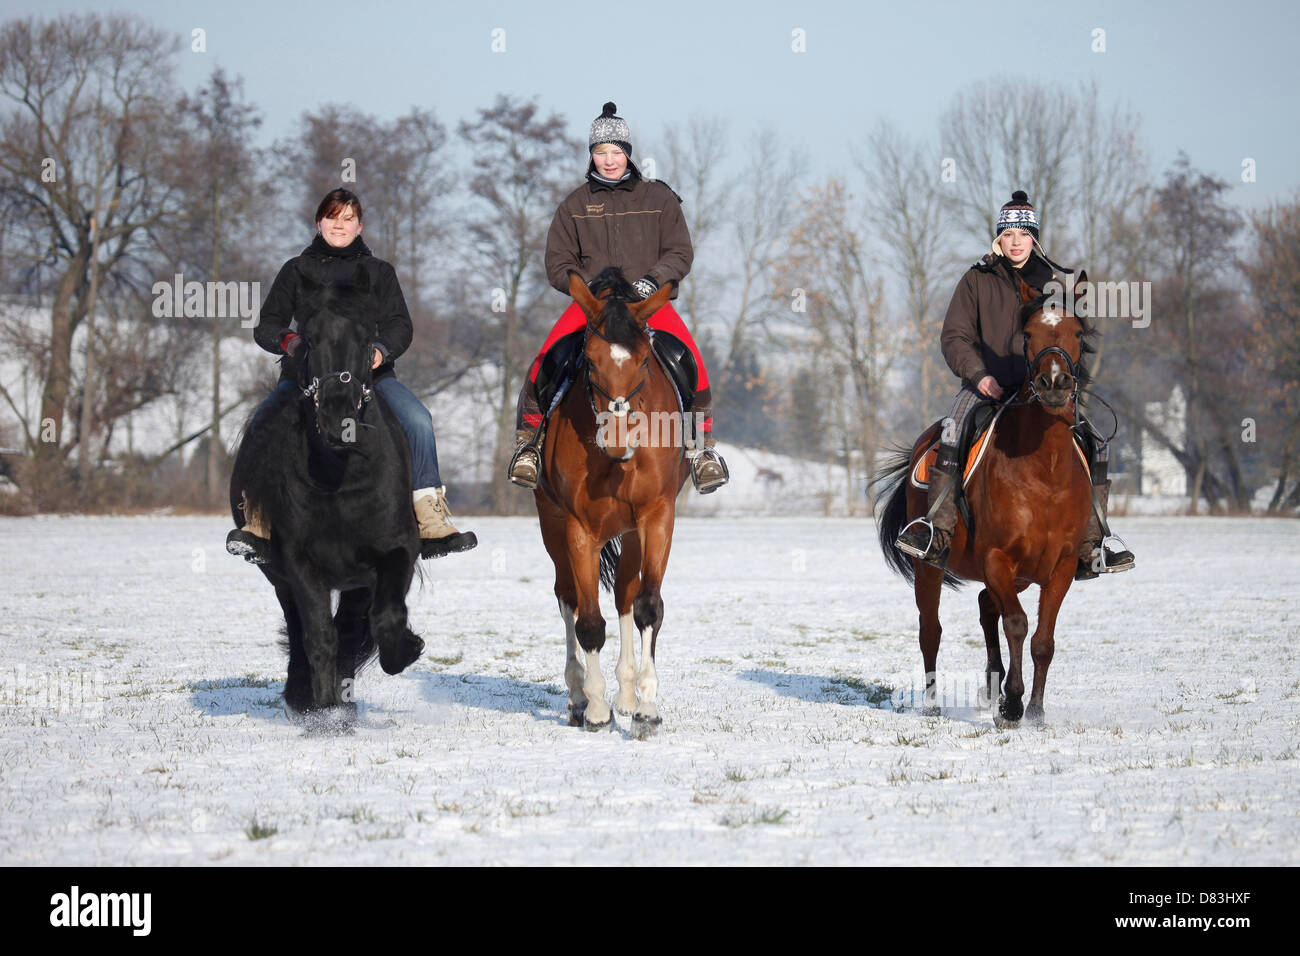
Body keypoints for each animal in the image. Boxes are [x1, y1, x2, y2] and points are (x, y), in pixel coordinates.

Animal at [227, 269, 421, 733]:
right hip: (278, 576)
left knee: (351, 630)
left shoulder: (395, 553)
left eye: (366, 336)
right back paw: (306, 698)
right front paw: (324, 712)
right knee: (303, 631)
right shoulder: (300, 564)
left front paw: (407, 648)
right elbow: (317, 636)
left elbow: (383, 621)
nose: (339, 422)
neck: (340, 477)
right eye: (309, 339)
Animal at [530, 269, 691, 738]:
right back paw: (579, 697)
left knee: (624, 596)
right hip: (552, 524)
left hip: (632, 532)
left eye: (643, 362)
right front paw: (599, 709)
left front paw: (645, 709)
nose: (619, 441)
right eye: (591, 361)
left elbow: (648, 607)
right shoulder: (577, 528)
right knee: (568, 598)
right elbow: (588, 622)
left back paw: (627, 693)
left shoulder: (657, 517)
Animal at [873, 274, 1097, 723]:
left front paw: (1035, 711)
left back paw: (990, 685)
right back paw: (934, 705)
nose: (1053, 384)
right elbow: (1017, 623)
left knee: (983, 604)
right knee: (932, 631)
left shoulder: (1061, 565)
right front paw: (1011, 704)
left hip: (1023, 573)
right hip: (931, 569)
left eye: (1078, 333)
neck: (1045, 471)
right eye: (1027, 334)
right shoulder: (997, 557)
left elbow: (1043, 639)